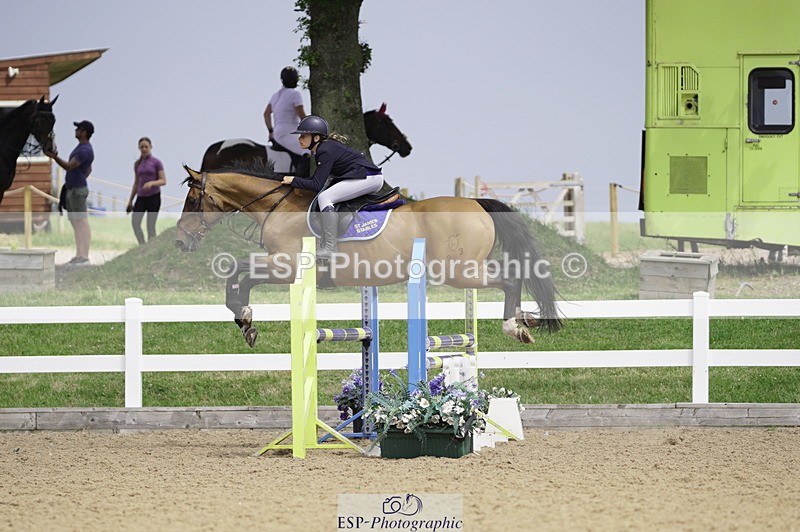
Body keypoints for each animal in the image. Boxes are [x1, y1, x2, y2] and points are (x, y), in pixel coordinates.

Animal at [175, 164, 563, 348]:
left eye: (192, 199)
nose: (180, 242)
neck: (278, 205)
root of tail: (477, 203)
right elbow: (238, 273)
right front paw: (245, 321)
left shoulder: (286, 267)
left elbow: (238, 273)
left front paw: (246, 319)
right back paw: (525, 320)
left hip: (458, 270)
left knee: (509, 280)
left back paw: (514, 326)